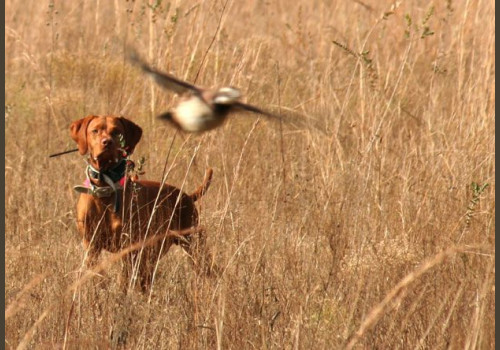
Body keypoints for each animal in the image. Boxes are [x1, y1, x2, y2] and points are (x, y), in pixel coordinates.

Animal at [69, 115, 213, 292]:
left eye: (117, 131)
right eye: (95, 131)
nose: (107, 142)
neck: (105, 188)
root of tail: (186, 195)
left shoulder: (128, 245)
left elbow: (123, 279)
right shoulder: (91, 245)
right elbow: (97, 275)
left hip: (193, 245)